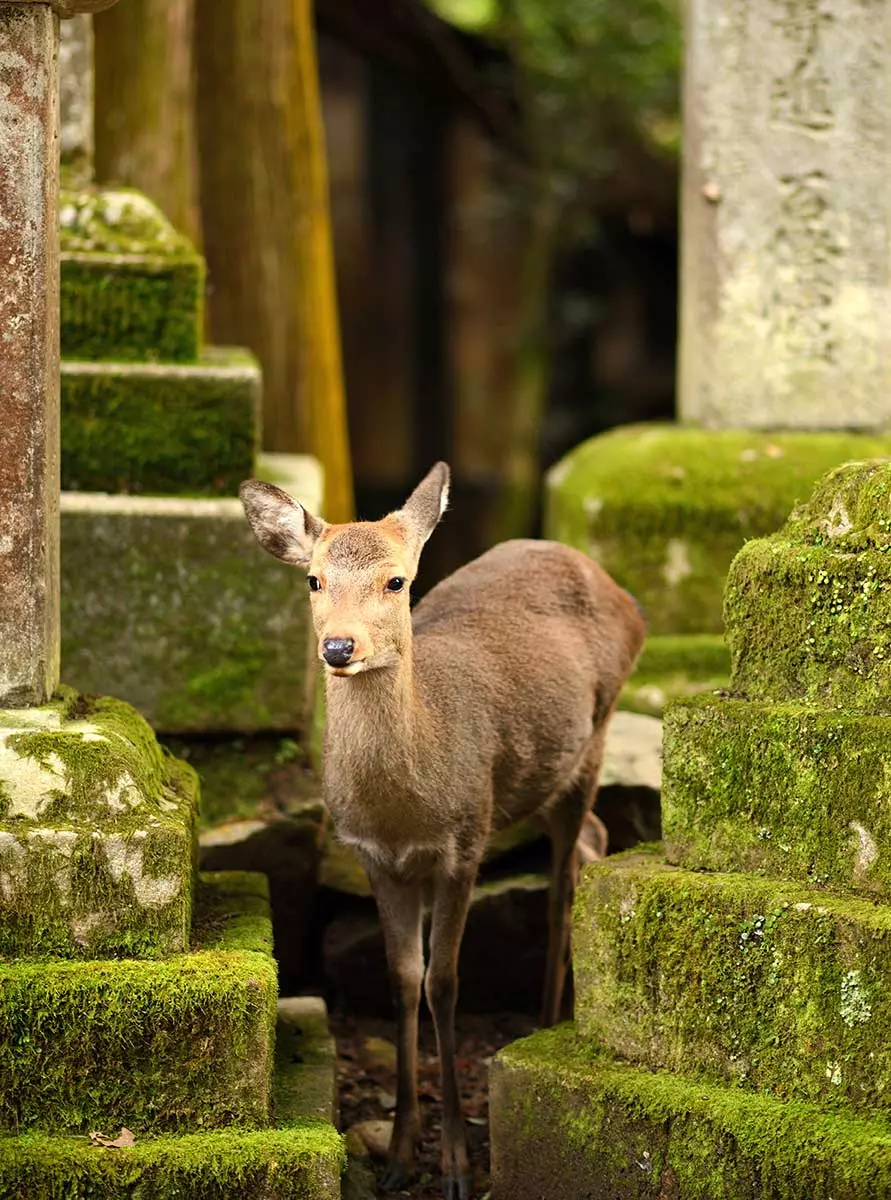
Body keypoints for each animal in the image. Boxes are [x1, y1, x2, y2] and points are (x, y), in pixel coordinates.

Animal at [242, 463, 648, 1195]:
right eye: (313, 579)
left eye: (396, 581)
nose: (338, 647)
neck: (406, 807)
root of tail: (611, 583)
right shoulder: (374, 856)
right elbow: (403, 979)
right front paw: (400, 1155)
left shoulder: (464, 839)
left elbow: (444, 980)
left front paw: (458, 1161)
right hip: (536, 778)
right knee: (594, 840)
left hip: (593, 735)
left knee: (564, 880)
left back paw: (548, 1019)